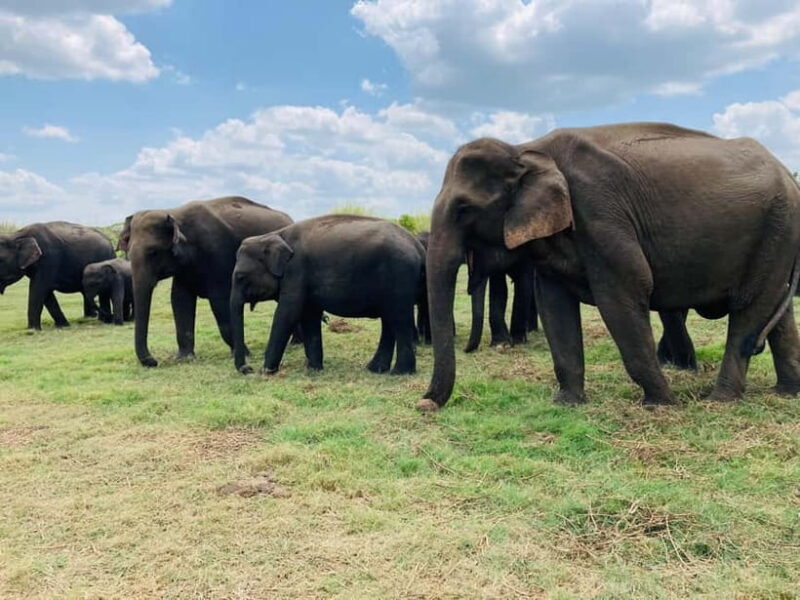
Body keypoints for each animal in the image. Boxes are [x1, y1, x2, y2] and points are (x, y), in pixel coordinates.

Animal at [120, 196, 293, 367]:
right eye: (128, 253)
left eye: (153, 252)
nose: (154, 361)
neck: (173, 212)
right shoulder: (183, 269)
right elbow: (180, 300)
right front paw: (184, 358)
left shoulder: (216, 253)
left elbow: (220, 301)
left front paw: (244, 353)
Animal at [231, 215, 426, 376]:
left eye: (240, 277)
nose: (248, 369)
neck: (273, 235)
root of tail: (418, 247)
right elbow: (309, 315)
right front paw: (313, 369)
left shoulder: (296, 271)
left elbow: (287, 313)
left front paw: (267, 371)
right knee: (389, 320)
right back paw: (376, 369)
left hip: (399, 275)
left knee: (399, 318)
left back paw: (399, 373)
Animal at [419, 123, 800, 412]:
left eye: (464, 209)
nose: (424, 403)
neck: (527, 149)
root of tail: (788, 174)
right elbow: (554, 306)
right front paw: (566, 403)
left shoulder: (600, 213)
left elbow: (623, 294)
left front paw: (661, 405)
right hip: (778, 235)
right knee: (777, 314)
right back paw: (787, 392)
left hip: (777, 229)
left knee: (749, 309)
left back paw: (720, 400)